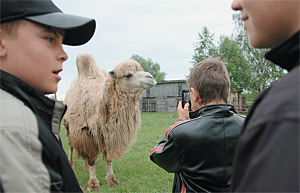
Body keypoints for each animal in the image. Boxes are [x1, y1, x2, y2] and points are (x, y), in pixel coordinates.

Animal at [63, 53, 157, 191]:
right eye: (127, 75)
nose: (150, 78)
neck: (98, 108)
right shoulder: (85, 131)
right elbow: (91, 159)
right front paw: (93, 184)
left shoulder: (107, 134)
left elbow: (108, 158)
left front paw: (111, 180)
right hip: (68, 125)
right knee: (71, 145)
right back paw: (72, 164)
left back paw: (85, 166)